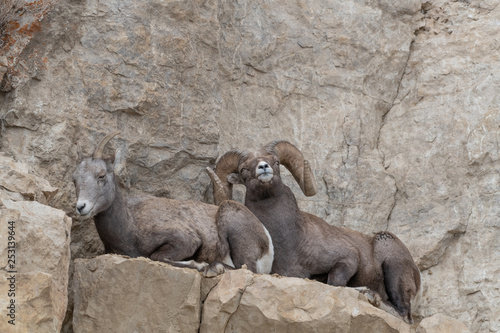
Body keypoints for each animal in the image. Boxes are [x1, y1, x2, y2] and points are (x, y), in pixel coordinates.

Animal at [72, 132, 274, 274]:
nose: (81, 207)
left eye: (101, 175)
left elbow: (156, 257)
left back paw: (214, 267)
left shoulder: (186, 241)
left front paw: (200, 265)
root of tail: (267, 239)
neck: (129, 224)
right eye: (75, 180)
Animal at [207, 140, 422, 322]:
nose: (263, 167)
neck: (293, 241)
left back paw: (370, 295)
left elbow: (334, 282)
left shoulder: (348, 257)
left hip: (391, 260)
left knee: (404, 314)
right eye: (243, 169)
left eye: (275, 162)